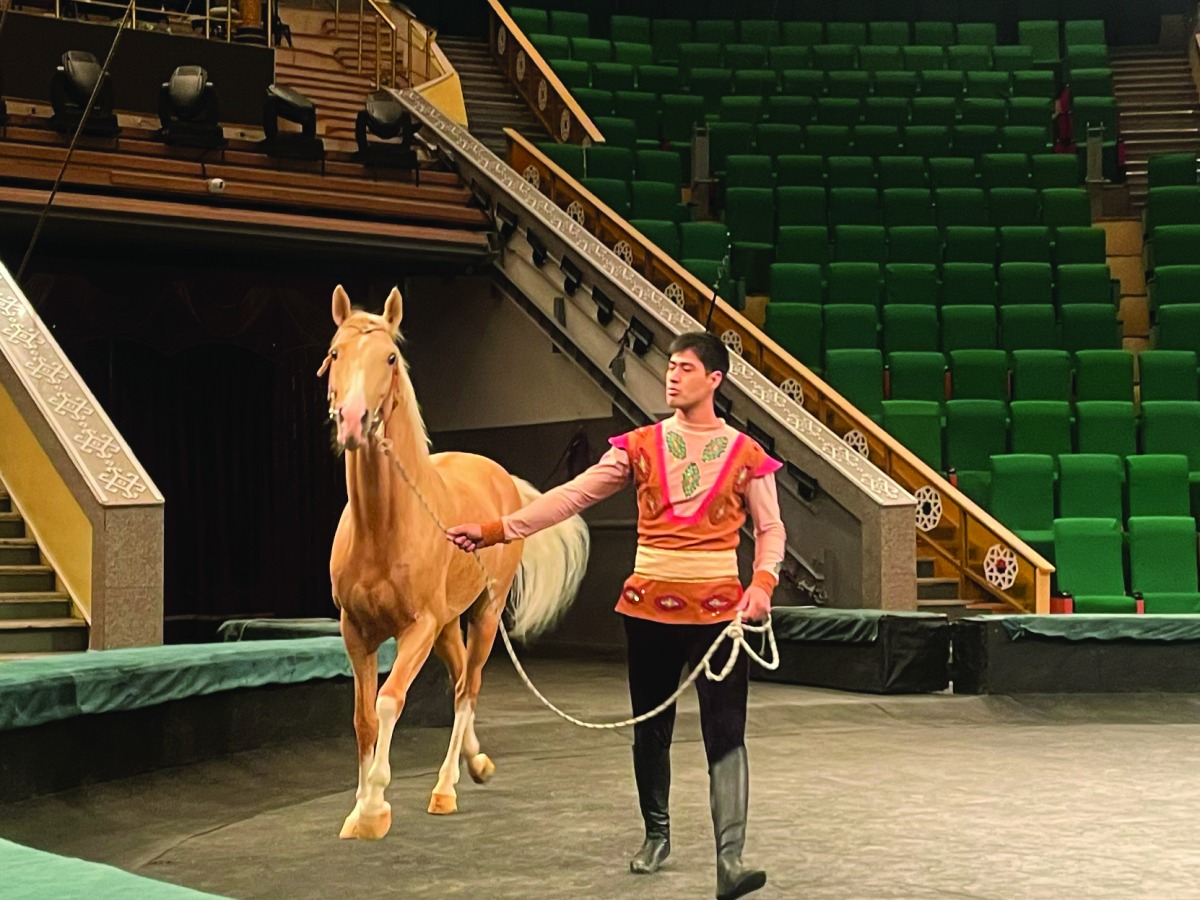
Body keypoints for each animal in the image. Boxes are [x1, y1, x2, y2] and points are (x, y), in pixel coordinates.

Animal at [320, 284, 590, 841]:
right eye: (335, 353)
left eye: (391, 357)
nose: (353, 421)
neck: (384, 529)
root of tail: (500, 478)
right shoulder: (355, 630)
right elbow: (363, 718)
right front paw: (358, 808)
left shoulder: (417, 628)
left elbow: (390, 701)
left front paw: (375, 806)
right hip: (449, 626)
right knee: (460, 679)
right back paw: (476, 762)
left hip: (483, 615)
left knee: (470, 687)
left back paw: (446, 788)